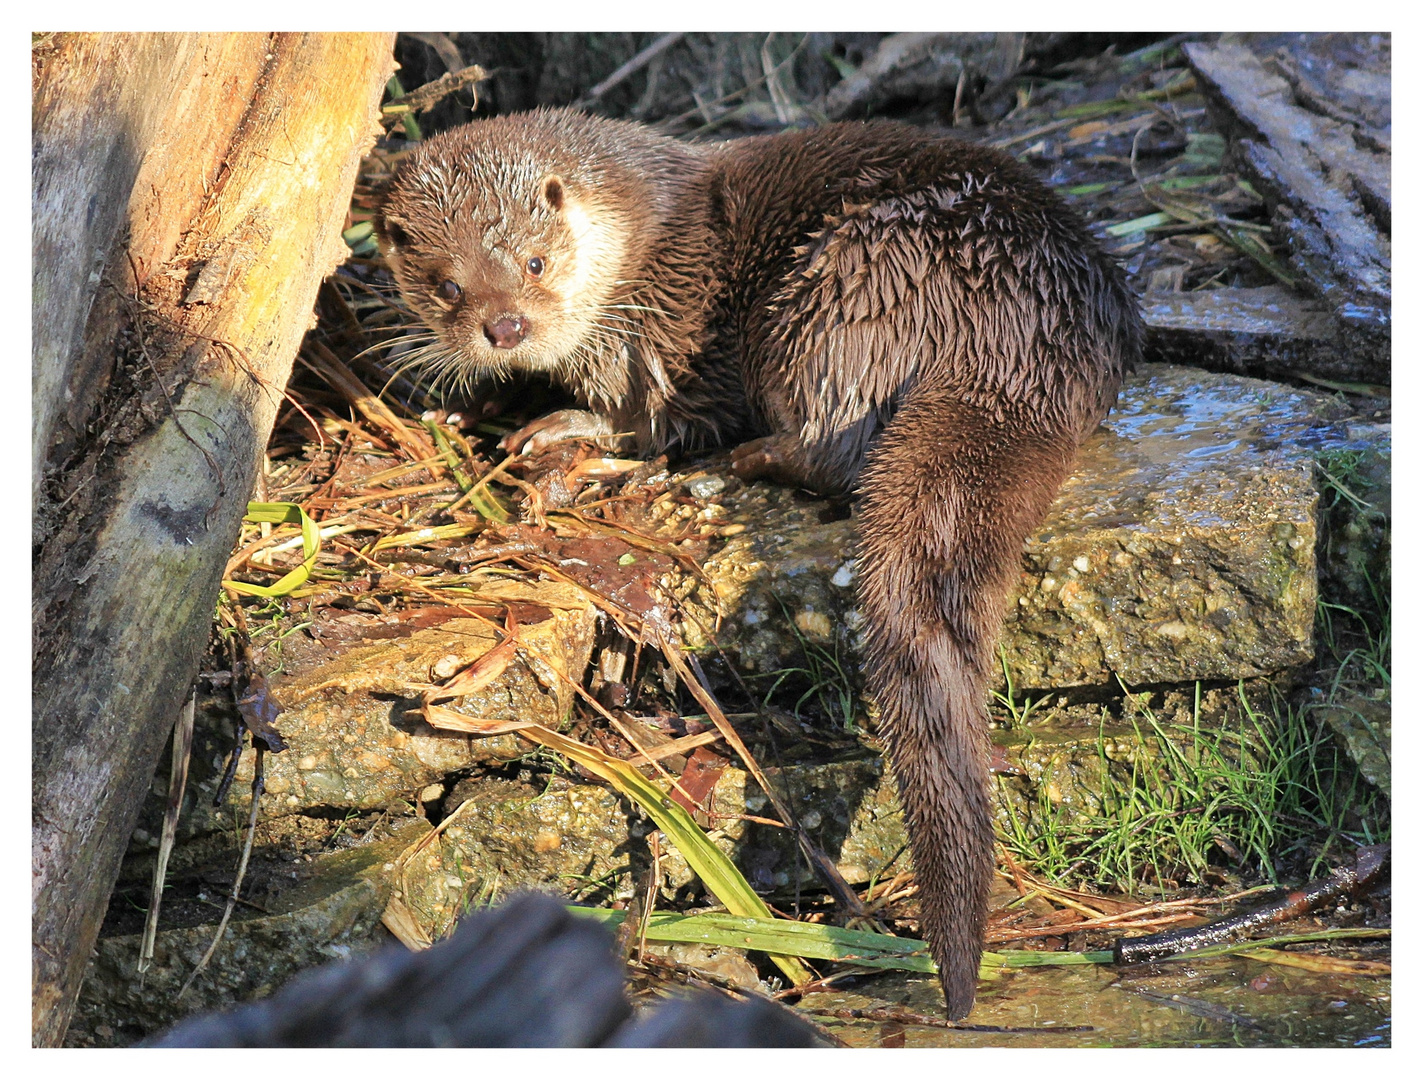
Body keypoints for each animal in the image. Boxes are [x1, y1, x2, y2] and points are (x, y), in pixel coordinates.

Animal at [372, 111, 1138, 1024]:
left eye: (533, 261)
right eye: (446, 285)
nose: (505, 327)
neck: (642, 235)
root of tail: (1019, 330)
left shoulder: (667, 325)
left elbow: (655, 418)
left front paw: (564, 426)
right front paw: (472, 397)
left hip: (841, 287)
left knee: (835, 446)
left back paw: (749, 457)